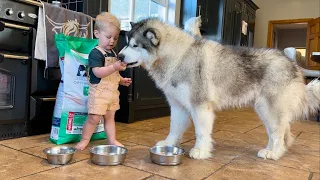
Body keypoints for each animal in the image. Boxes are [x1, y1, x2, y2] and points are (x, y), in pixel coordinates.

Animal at [118, 18, 320, 160]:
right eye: (127, 43)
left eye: (135, 45)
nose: (119, 56)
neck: (178, 56)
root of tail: (293, 64)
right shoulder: (178, 106)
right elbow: (174, 128)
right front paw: (169, 144)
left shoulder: (200, 106)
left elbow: (201, 132)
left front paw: (200, 151)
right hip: (264, 110)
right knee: (275, 132)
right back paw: (270, 150)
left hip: (270, 109)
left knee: (278, 133)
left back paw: (274, 153)